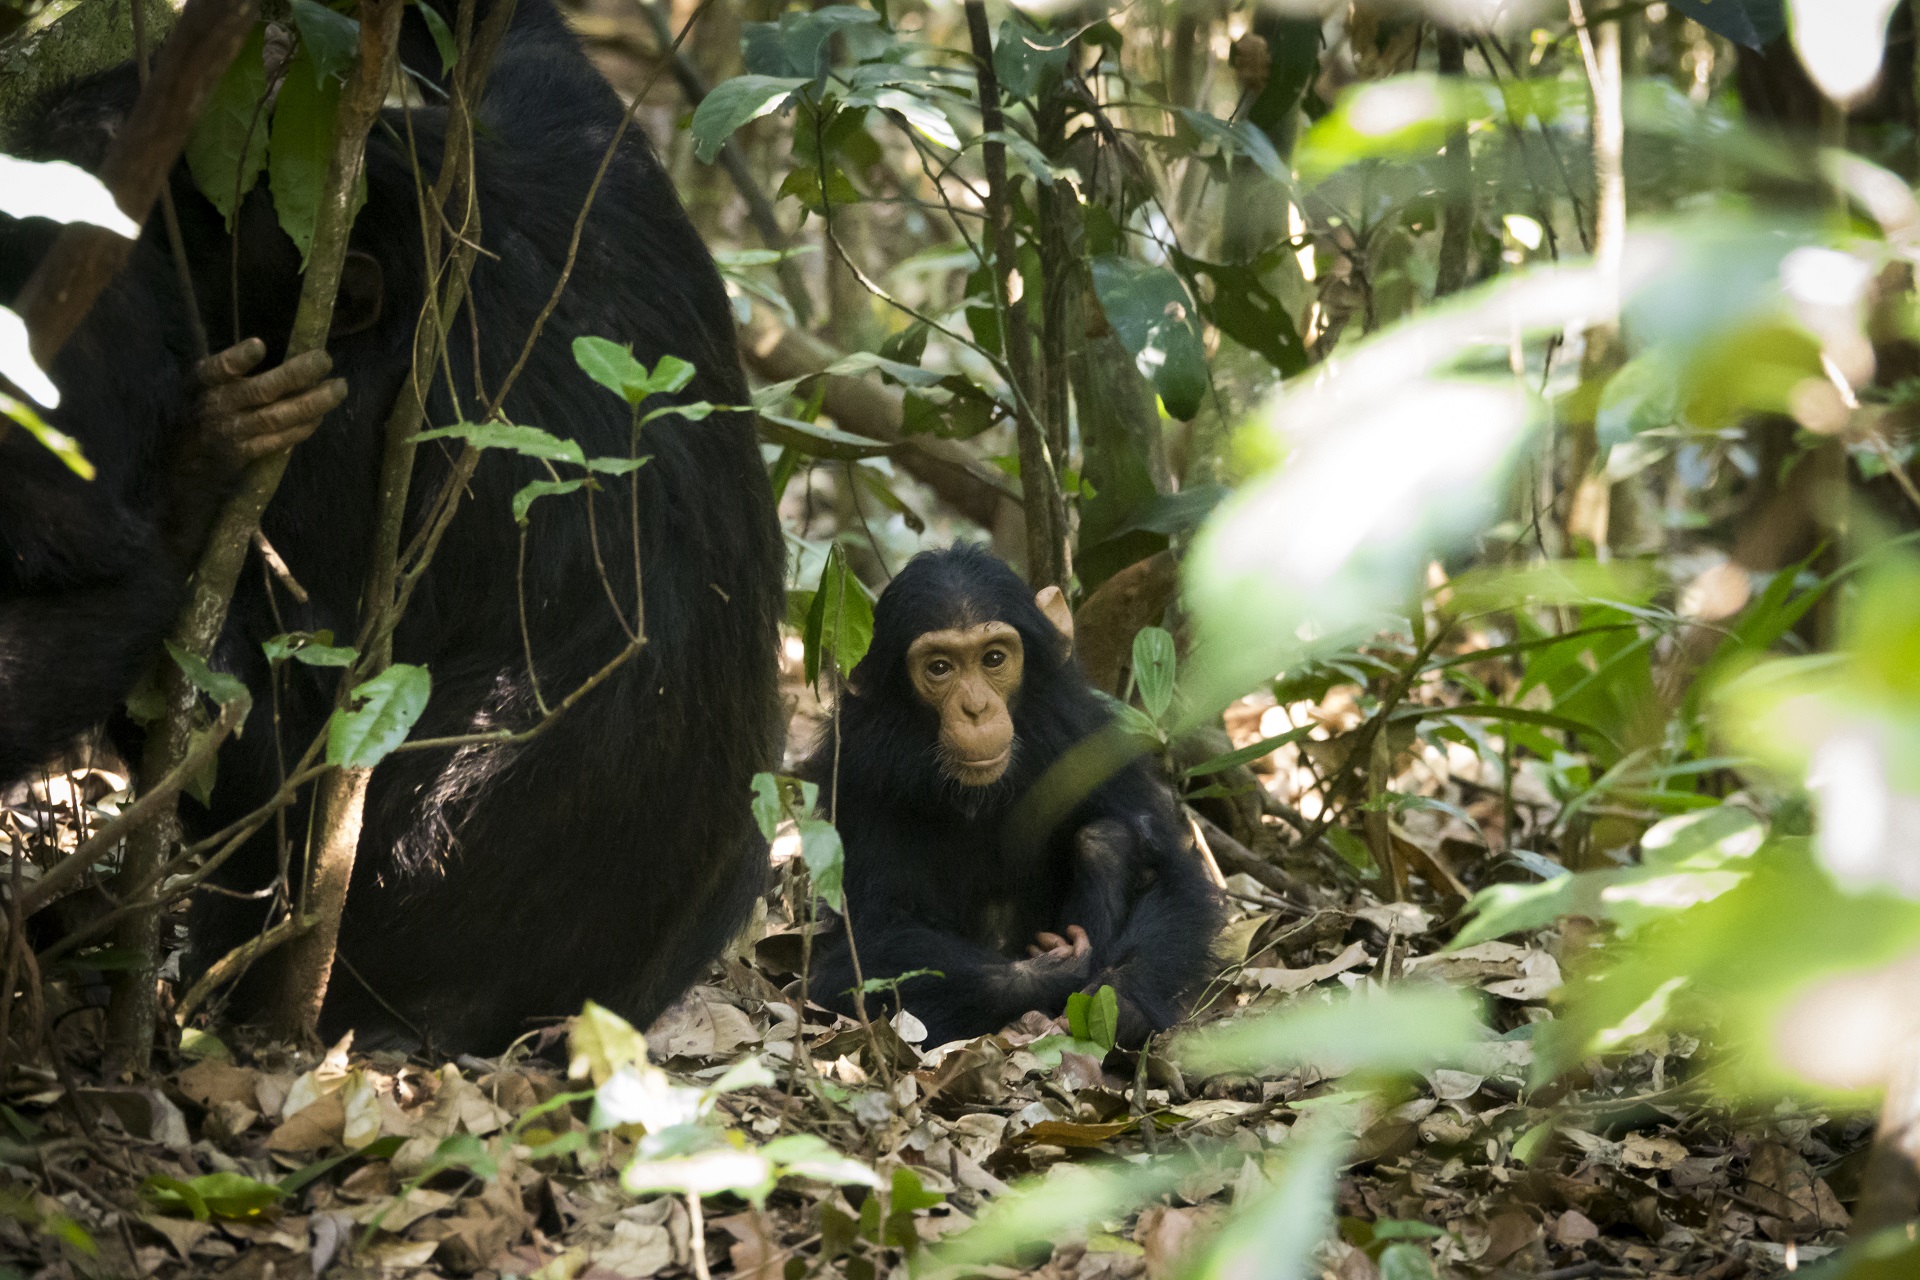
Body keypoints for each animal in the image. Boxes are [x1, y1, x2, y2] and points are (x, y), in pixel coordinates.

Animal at [1, 0, 779, 1059]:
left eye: (185, 243)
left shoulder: (362, 438)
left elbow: (279, 746)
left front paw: (194, 471)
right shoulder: (582, 144)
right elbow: (514, 36)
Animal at [802, 545, 1221, 1043]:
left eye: (994, 658)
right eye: (939, 667)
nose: (977, 708)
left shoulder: (1082, 737)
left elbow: (1170, 877)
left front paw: (1120, 1000)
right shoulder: (856, 771)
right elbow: (872, 939)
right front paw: (1054, 970)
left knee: (1106, 838)